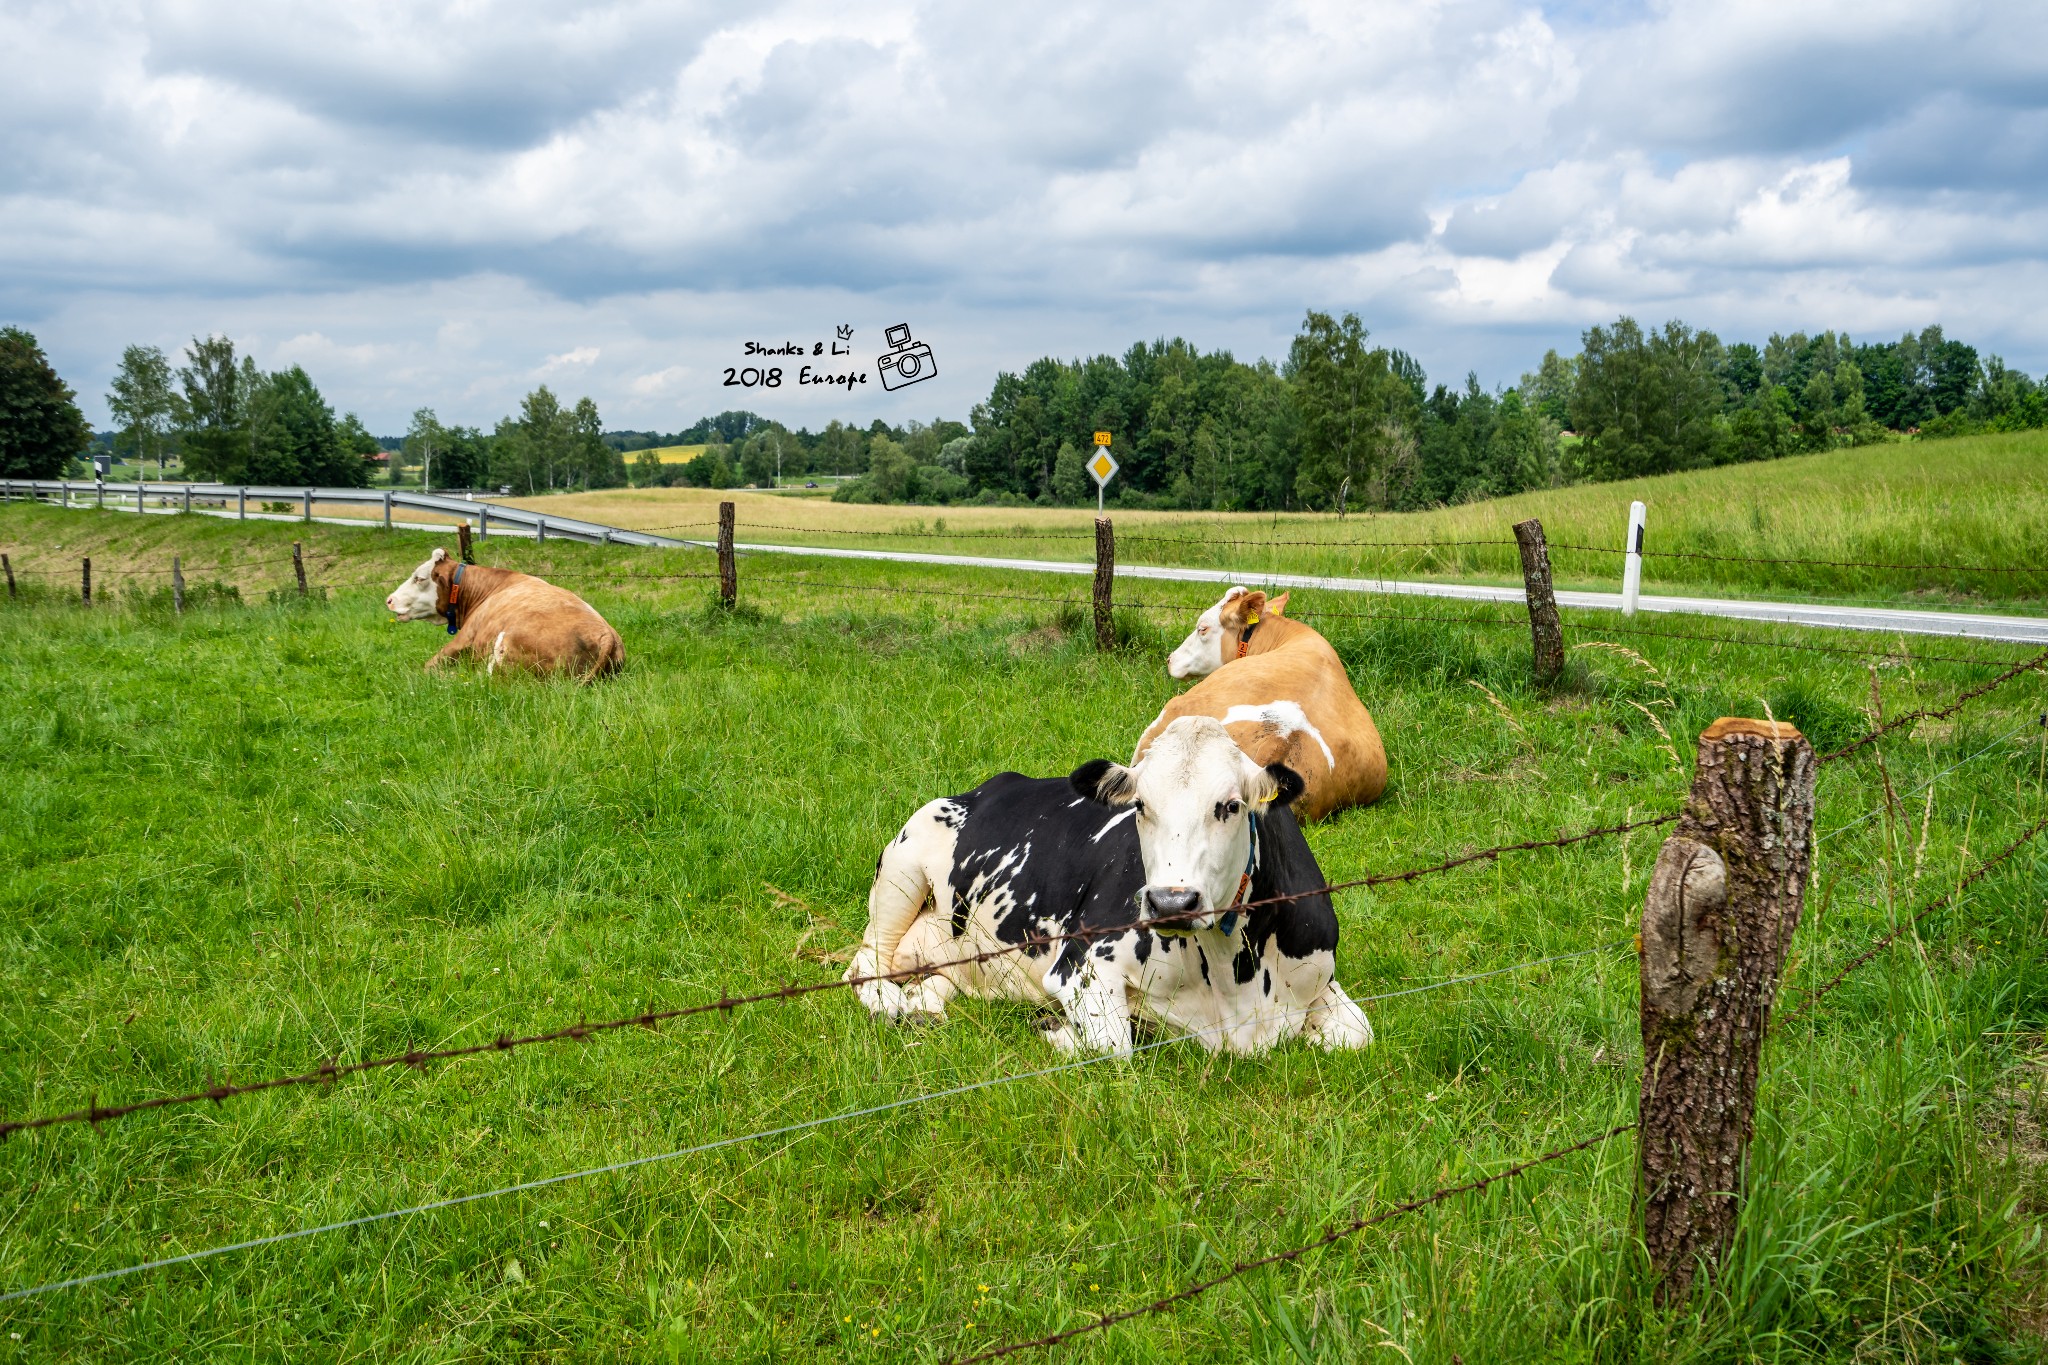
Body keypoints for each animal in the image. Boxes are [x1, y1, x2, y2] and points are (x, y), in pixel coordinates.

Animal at [839, 716, 1368, 1055]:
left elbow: (1359, 1033)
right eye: (1140, 806)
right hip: (901, 868)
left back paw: (922, 1004)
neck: (1234, 981)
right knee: (865, 965)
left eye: (1231, 805)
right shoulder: (1081, 965)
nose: (1171, 901)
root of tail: (988, 786)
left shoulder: (1321, 976)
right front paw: (1058, 1031)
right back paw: (891, 1003)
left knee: (938, 980)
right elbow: (1115, 1044)